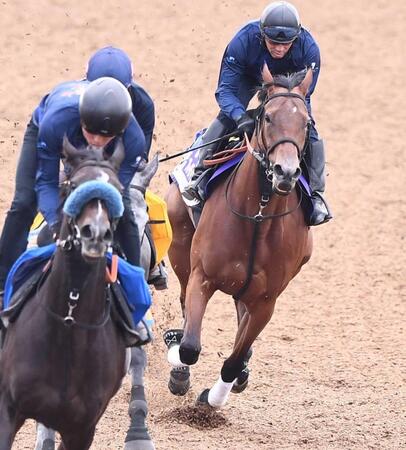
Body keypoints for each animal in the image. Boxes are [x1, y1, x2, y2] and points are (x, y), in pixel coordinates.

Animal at [0, 139, 144, 448]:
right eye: (73, 185)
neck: (69, 319)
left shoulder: (81, 428)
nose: (96, 233)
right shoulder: (7, 407)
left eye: (118, 189)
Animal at [165, 67, 314, 408]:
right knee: (184, 303)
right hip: (179, 243)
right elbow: (190, 346)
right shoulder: (202, 276)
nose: (286, 172)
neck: (257, 217)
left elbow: (232, 361)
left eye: (306, 123)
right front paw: (177, 359)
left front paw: (213, 399)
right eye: (268, 117)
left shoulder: (266, 301)